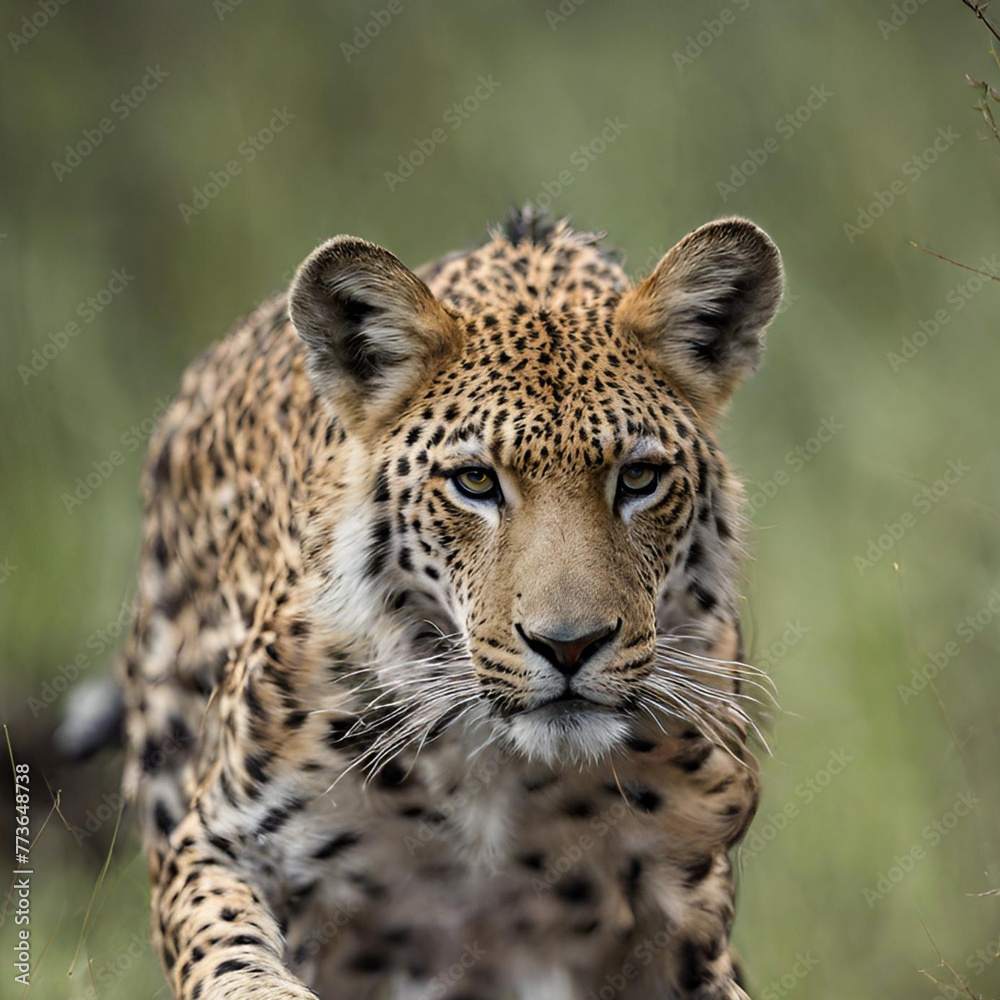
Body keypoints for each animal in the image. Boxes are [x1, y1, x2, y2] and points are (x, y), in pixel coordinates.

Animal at [117, 207, 783, 1000]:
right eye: (475, 482)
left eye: (639, 478)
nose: (569, 644)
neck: (495, 770)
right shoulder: (213, 838)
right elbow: (225, 944)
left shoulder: (684, 900)